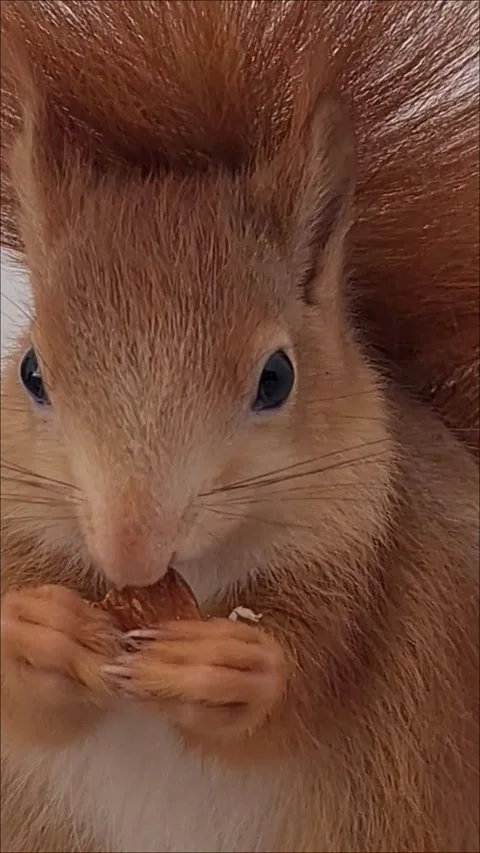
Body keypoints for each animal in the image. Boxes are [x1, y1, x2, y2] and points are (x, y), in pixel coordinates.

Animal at [0, 2, 478, 852]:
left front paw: (230, 664)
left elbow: (301, 687)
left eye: (277, 378)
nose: (131, 552)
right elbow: (28, 708)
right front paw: (41, 625)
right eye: (30, 373)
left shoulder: (360, 570)